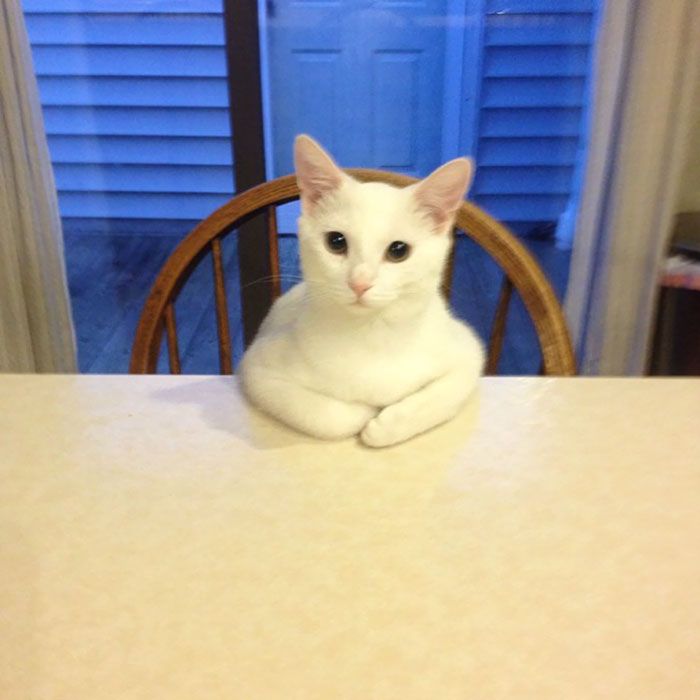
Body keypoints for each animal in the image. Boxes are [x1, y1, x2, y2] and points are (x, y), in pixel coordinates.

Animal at [238, 134, 484, 446]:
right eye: (336, 241)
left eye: (399, 250)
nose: (360, 282)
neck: (371, 333)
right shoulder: (257, 368)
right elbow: (328, 418)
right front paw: (365, 411)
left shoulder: (467, 350)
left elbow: (445, 395)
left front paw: (386, 424)